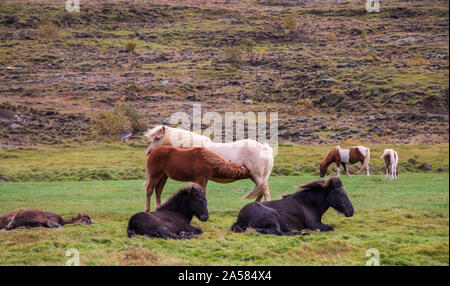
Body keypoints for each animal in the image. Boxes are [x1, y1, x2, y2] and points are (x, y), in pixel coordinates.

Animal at [143, 125, 274, 201]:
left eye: (157, 138)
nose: (148, 153)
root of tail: (265, 149)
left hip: (257, 176)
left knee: (265, 190)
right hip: (255, 177)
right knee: (261, 190)